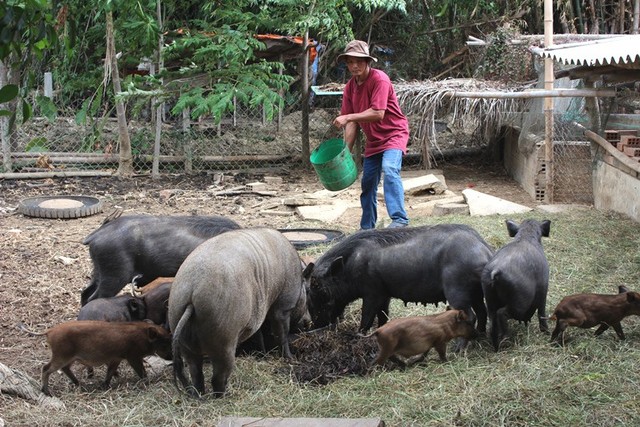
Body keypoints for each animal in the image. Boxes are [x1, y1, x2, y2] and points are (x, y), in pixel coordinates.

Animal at [168, 227, 302, 398]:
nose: (308, 321)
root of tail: (192, 292)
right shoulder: (283, 305)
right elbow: (281, 332)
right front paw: (291, 359)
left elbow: (259, 334)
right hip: (224, 338)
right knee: (218, 376)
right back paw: (224, 396)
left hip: (178, 323)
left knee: (195, 371)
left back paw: (199, 395)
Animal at [302, 224, 492, 334]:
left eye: (316, 286)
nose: (316, 327)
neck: (349, 267)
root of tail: (484, 249)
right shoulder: (384, 293)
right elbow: (383, 315)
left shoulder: (372, 292)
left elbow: (367, 315)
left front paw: (358, 334)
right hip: (475, 292)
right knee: (483, 312)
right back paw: (479, 336)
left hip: (457, 290)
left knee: (471, 316)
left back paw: (458, 349)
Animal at [482, 219, 552, 352]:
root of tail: (495, 270)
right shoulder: (544, 287)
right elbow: (542, 312)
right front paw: (547, 332)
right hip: (519, 302)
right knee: (502, 313)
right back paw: (505, 339)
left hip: (489, 298)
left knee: (492, 321)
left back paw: (496, 347)